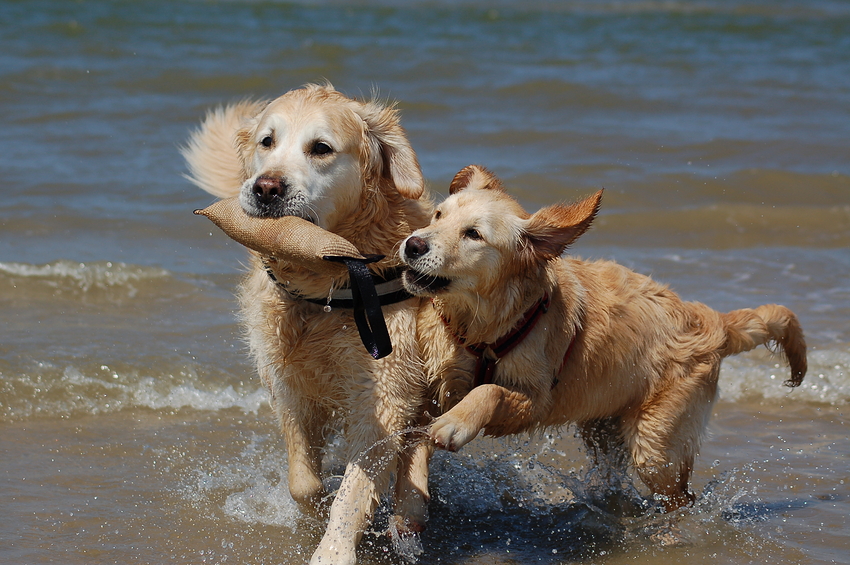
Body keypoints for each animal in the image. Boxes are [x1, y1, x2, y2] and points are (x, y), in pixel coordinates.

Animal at [181, 85, 430, 564]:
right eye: (267, 141)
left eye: (321, 148)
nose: (266, 188)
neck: (327, 292)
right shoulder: (288, 384)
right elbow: (304, 482)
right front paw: (313, 512)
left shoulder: (384, 390)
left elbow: (354, 493)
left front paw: (333, 550)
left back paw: (410, 506)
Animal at [400, 164, 804, 512]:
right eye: (438, 215)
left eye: (473, 234)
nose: (413, 245)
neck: (482, 326)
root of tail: (709, 318)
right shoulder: (439, 378)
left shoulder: (536, 400)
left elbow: (489, 391)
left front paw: (456, 423)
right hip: (605, 429)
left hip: (656, 445)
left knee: (680, 496)